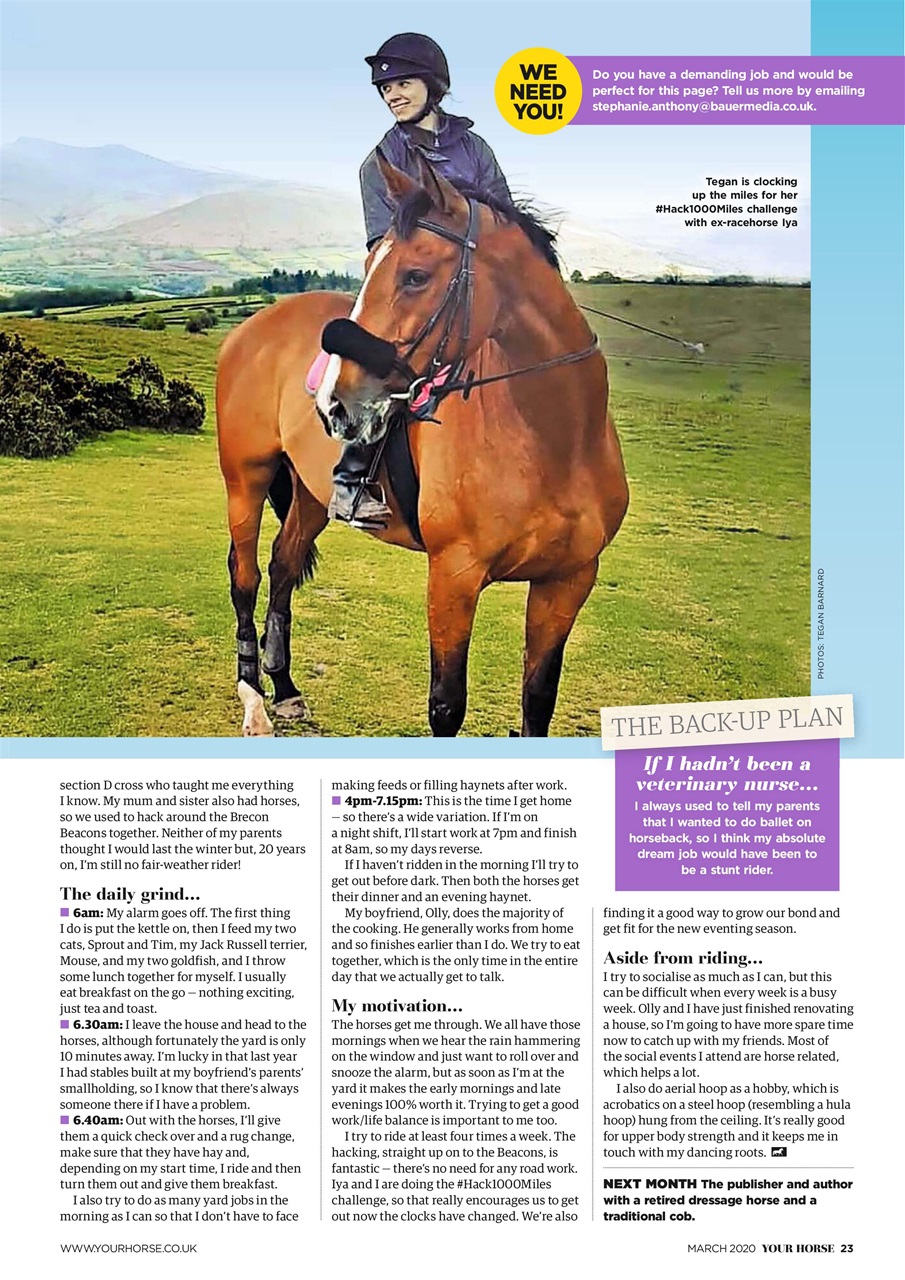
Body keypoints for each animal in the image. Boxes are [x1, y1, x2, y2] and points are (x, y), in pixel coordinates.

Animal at [216, 153, 628, 737]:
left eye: (416, 276)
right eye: (370, 266)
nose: (332, 401)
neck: (555, 441)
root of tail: (251, 329)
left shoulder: (568, 581)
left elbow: (538, 700)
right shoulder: (454, 577)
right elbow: (447, 705)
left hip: (310, 495)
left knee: (282, 564)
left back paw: (285, 686)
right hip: (245, 478)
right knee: (245, 576)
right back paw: (252, 696)